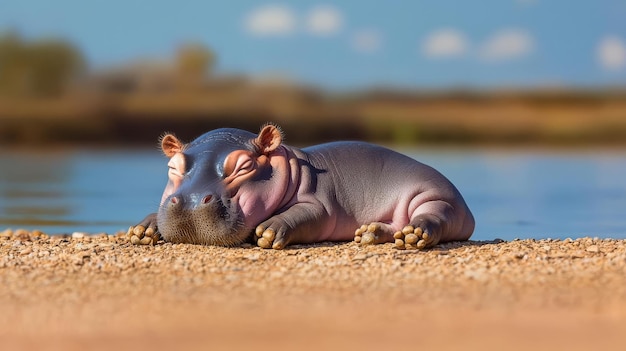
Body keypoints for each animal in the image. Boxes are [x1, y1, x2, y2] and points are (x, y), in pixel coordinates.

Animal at [133, 124, 472, 250]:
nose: (190, 202)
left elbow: (304, 214)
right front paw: (143, 229)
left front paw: (269, 231)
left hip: (437, 199)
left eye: (244, 166)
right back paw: (369, 234)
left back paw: (414, 235)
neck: (289, 165)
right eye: (173, 167)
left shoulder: (319, 202)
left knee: (433, 218)